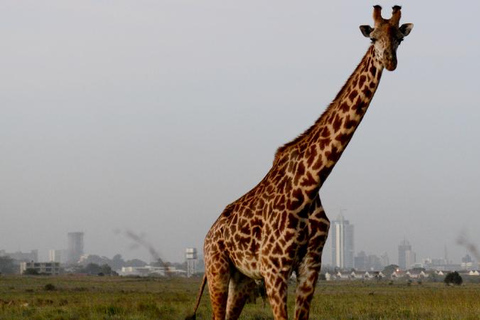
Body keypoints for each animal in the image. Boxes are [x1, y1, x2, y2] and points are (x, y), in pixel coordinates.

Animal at [187, 5, 412, 320]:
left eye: (399, 39)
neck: (310, 184)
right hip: (216, 267)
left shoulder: (310, 266)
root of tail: (208, 234)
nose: (390, 62)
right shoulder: (274, 269)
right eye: (372, 38)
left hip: (242, 278)